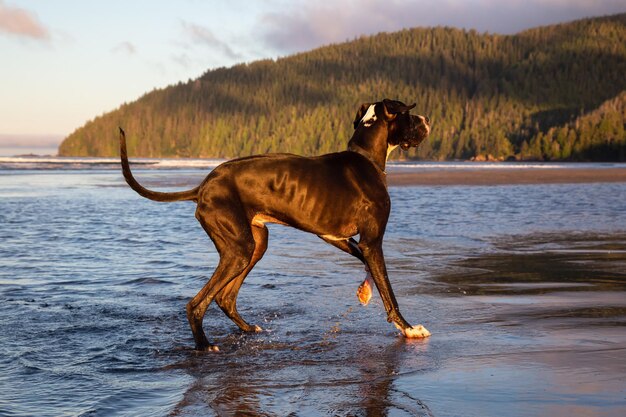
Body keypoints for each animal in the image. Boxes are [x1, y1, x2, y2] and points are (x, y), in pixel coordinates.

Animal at [118, 99, 428, 350]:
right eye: (409, 115)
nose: (427, 120)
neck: (366, 157)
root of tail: (204, 186)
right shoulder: (372, 241)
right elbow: (388, 289)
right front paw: (408, 328)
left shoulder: (339, 238)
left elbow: (367, 266)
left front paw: (365, 291)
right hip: (239, 249)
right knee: (197, 303)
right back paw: (204, 345)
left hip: (254, 245)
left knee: (225, 297)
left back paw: (247, 328)